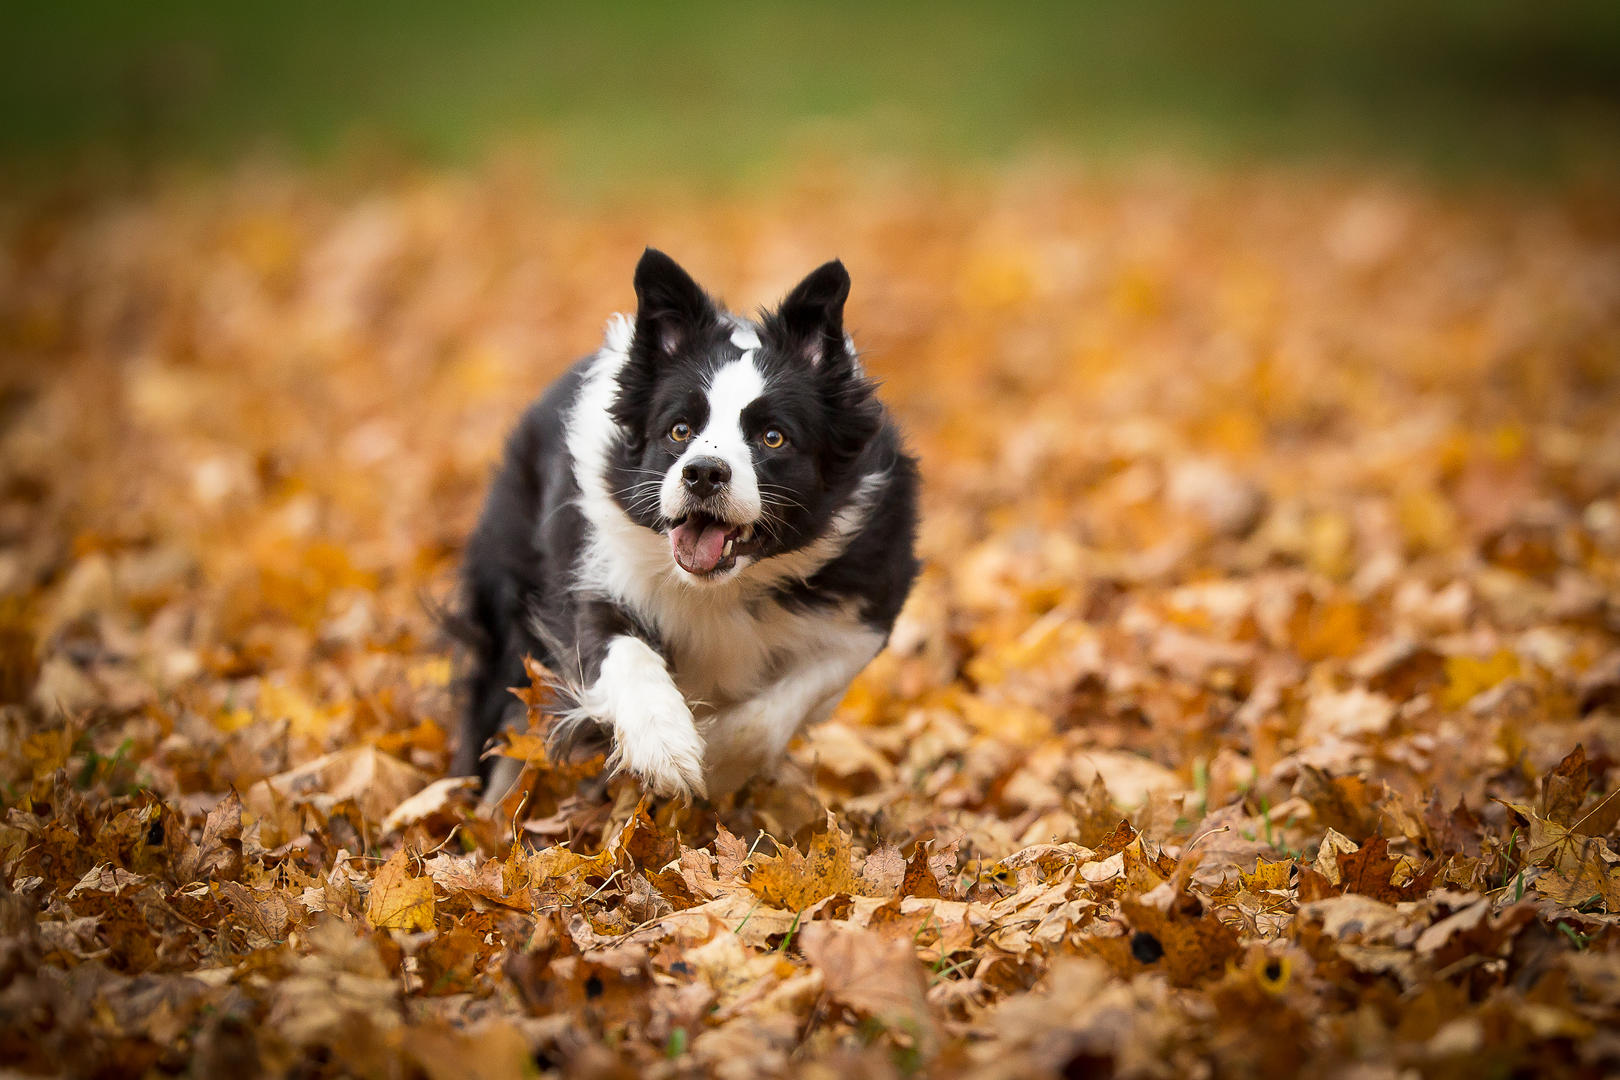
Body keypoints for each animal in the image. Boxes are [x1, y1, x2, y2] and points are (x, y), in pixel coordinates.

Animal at [450, 249, 920, 799]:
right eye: (679, 429)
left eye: (773, 437)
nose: (703, 473)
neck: (724, 587)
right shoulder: (593, 575)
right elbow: (624, 652)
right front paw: (666, 748)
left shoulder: (867, 610)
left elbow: (779, 708)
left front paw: (715, 760)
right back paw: (486, 808)